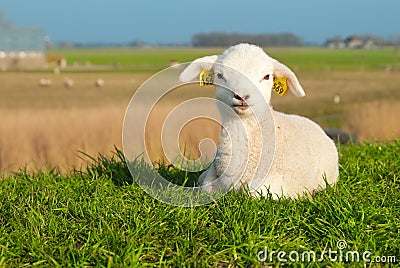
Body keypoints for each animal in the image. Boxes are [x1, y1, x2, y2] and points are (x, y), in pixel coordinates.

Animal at [180, 43, 340, 199]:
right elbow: (206, 187)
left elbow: (254, 192)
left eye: (266, 76)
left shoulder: (296, 177)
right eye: (220, 75)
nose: (242, 96)